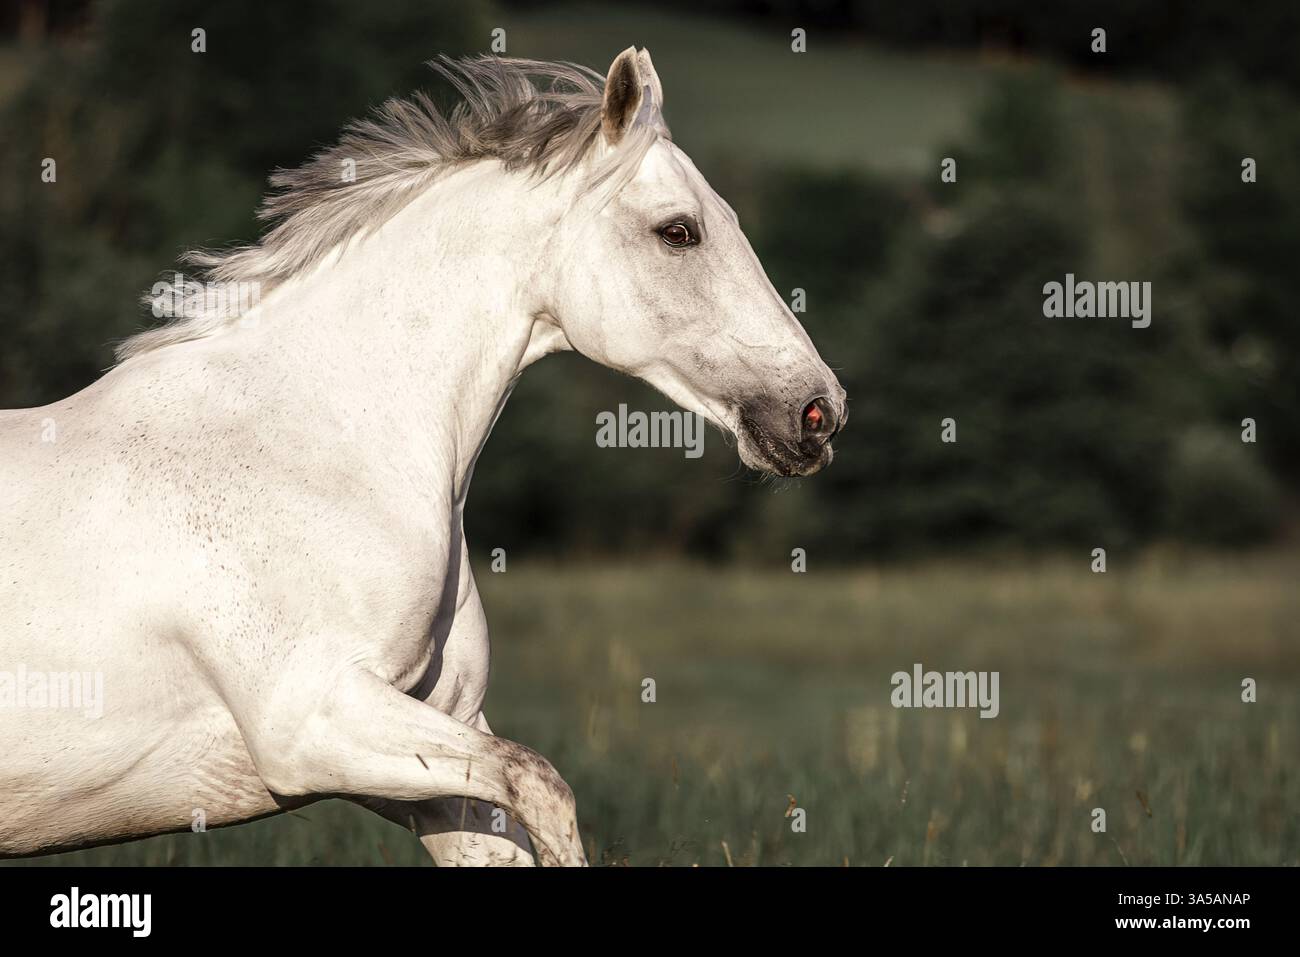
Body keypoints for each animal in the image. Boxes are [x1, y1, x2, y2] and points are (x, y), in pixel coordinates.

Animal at [0, 48, 846, 865]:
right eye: (679, 231)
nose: (819, 411)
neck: (317, 444)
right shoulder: (313, 721)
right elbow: (544, 784)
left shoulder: (437, 744)